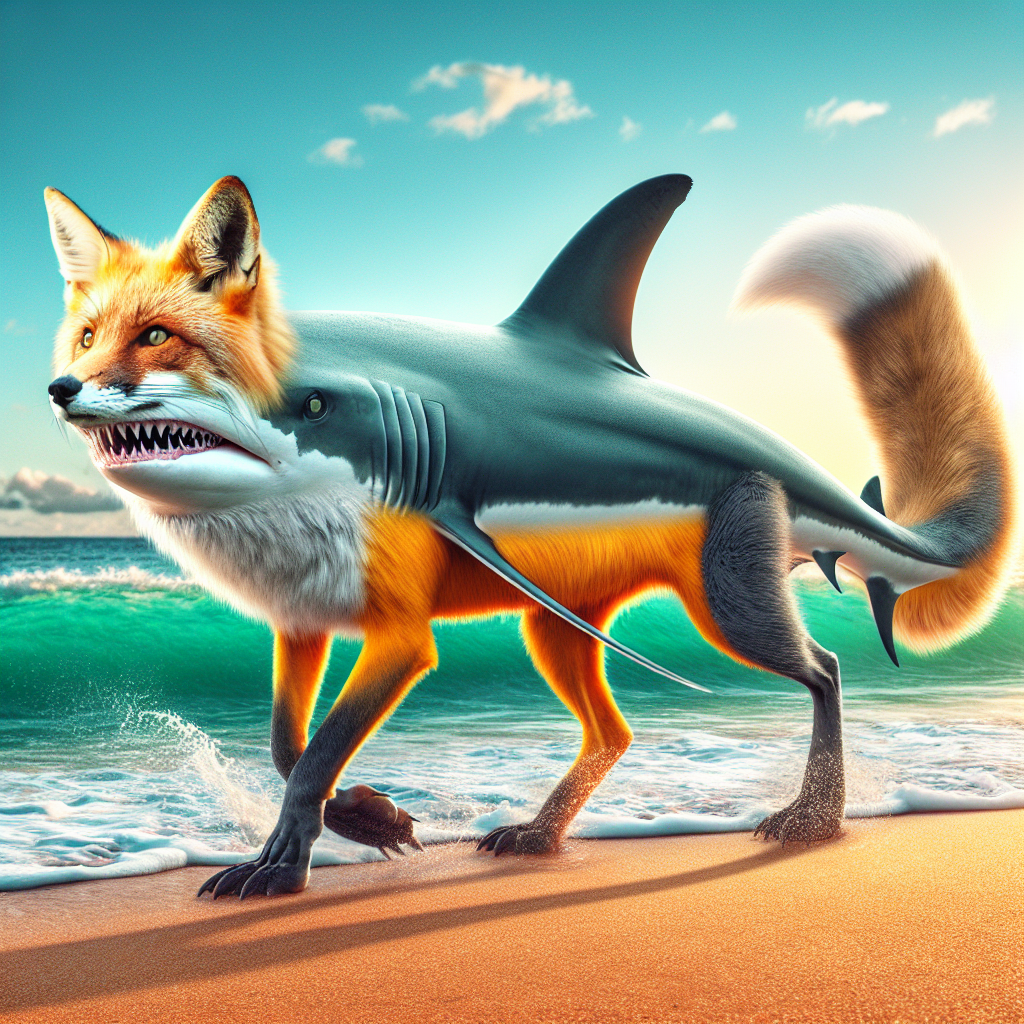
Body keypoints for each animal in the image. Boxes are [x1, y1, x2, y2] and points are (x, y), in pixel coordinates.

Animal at [44, 174, 1017, 899]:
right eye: (88, 338)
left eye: (309, 404)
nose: (68, 389)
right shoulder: (302, 620)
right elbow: (291, 747)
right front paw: (375, 820)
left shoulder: (403, 630)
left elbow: (315, 749)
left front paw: (280, 867)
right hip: (556, 619)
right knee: (612, 727)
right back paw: (541, 836)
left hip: (733, 563)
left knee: (822, 669)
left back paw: (811, 822)